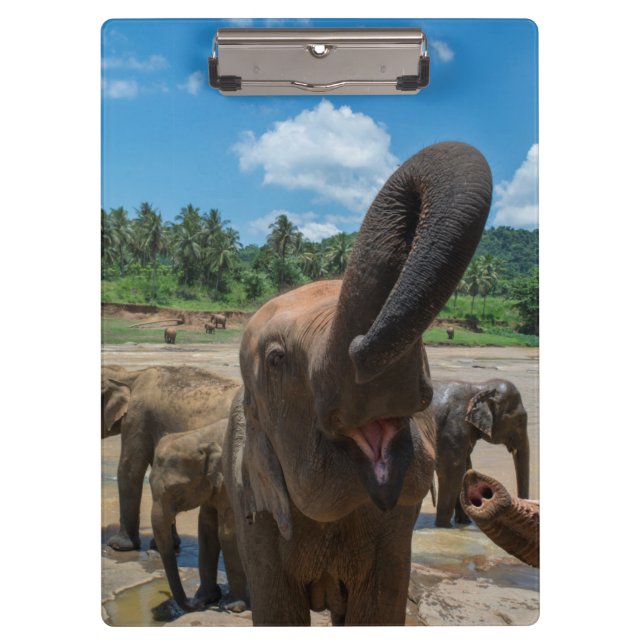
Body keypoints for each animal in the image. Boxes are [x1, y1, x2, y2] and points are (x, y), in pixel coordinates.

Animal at [150, 419, 248, 612]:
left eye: (176, 491)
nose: (196, 605)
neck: (201, 436)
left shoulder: (229, 482)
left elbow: (228, 533)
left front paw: (232, 606)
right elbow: (206, 529)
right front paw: (206, 597)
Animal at [431, 379, 529, 527]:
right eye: (519, 420)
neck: (480, 387)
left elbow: (466, 469)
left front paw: (464, 523)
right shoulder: (452, 429)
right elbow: (452, 473)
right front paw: (444, 527)